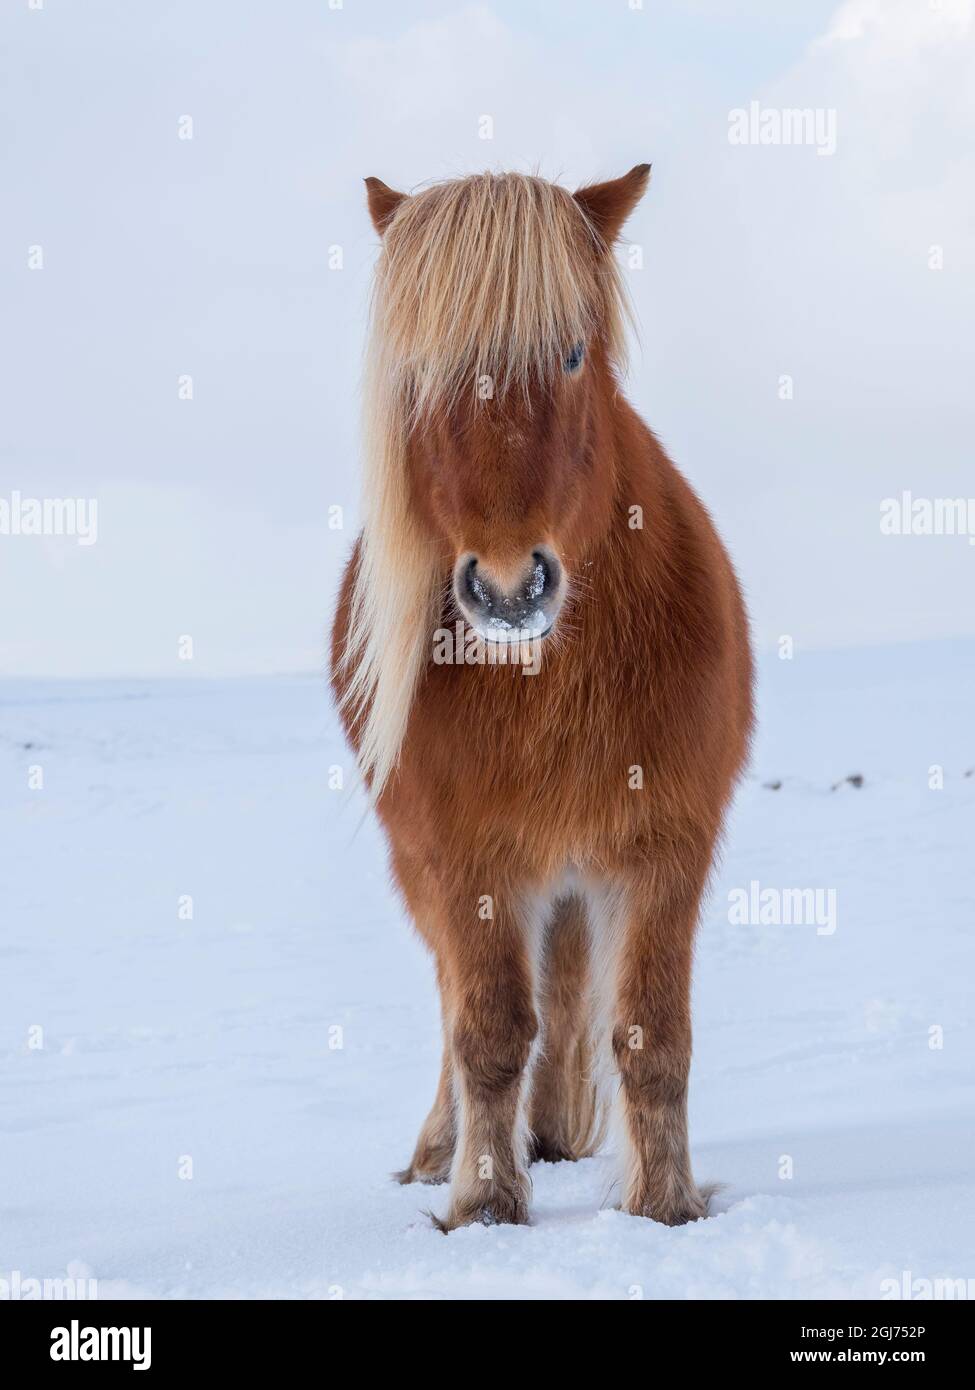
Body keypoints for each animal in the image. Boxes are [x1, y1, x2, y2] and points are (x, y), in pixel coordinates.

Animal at [331, 165, 751, 1228]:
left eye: (569, 353)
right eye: (420, 373)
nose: (509, 586)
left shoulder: (664, 846)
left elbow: (651, 1035)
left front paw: (665, 1210)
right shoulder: (467, 859)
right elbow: (485, 1032)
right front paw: (483, 1204)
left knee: (563, 1002)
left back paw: (556, 1132)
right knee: (465, 1003)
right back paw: (444, 1151)